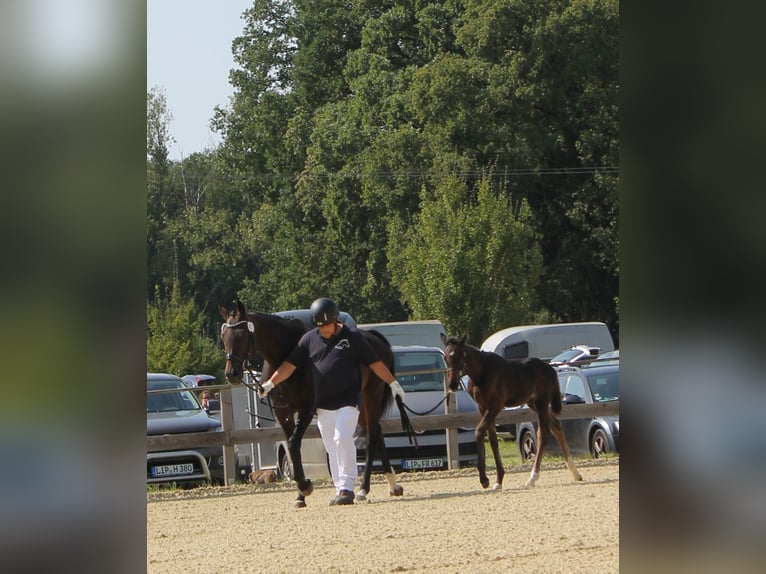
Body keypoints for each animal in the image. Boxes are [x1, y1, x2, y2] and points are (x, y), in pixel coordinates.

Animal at [220, 302, 414, 508]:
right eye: (223, 336)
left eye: (242, 335)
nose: (231, 374)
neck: (286, 354)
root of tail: (374, 339)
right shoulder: (283, 413)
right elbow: (292, 449)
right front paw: (300, 495)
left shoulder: (307, 408)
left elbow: (294, 443)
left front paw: (305, 486)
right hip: (361, 406)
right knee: (377, 433)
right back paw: (392, 486)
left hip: (370, 397)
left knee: (371, 438)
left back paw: (363, 489)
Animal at [440, 332, 584, 490]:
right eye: (445, 357)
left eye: (459, 355)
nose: (452, 384)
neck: (483, 372)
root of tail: (550, 368)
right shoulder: (483, 407)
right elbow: (493, 440)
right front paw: (498, 480)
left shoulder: (495, 406)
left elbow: (479, 431)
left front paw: (484, 479)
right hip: (533, 403)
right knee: (556, 426)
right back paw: (575, 472)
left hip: (541, 402)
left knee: (543, 434)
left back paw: (532, 478)